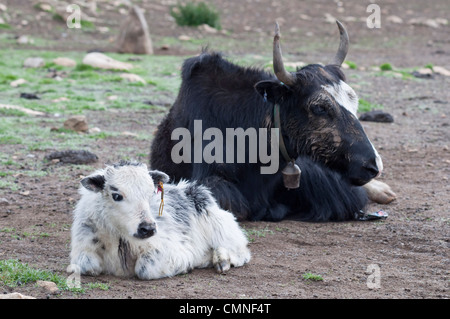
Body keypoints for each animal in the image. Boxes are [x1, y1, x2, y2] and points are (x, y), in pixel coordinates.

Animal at [67, 162, 250, 280]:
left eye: (151, 193)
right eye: (116, 195)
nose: (147, 228)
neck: (119, 236)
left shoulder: (167, 247)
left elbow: (145, 269)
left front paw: (188, 264)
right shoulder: (82, 249)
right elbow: (86, 265)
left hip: (219, 224)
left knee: (239, 250)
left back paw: (221, 260)